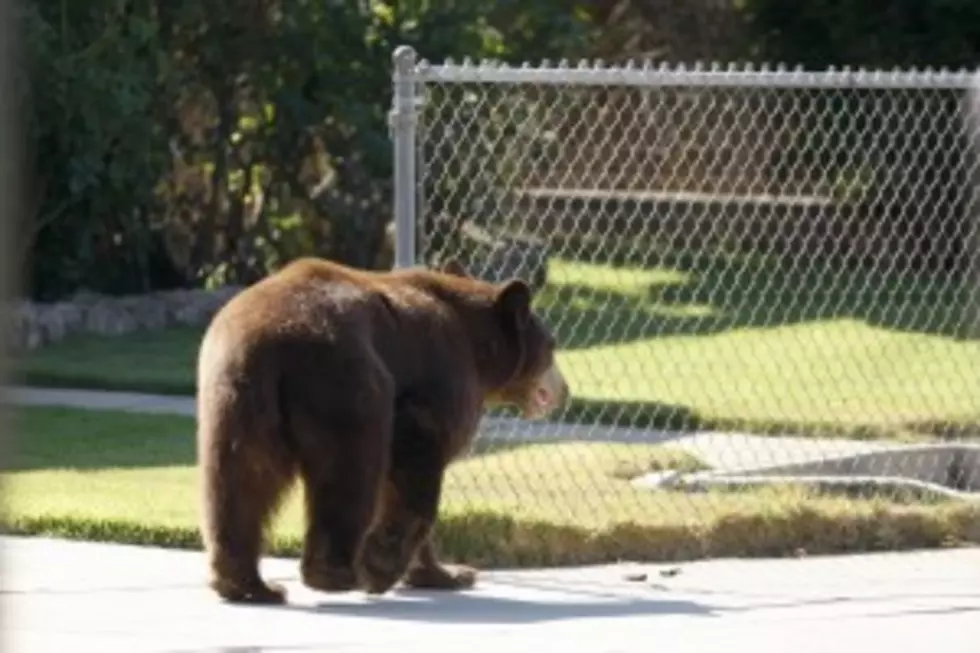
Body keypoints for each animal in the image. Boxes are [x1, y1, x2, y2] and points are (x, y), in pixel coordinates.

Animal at [195, 255, 572, 600]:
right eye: (552, 345)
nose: (565, 390)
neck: (480, 351)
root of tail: (270, 341)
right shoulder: (440, 380)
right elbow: (415, 461)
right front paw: (384, 567)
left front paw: (449, 573)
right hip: (347, 381)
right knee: (350, 470)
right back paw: (335, 574)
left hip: (234, 398)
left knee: (239, 480)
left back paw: (249, 584)